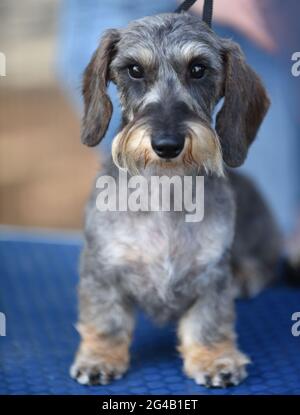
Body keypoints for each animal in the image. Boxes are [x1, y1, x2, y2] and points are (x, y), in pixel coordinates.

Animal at [69, 13, 282, 390]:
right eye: (134, 70)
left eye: (198, 69)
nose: (167, 144)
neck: (165, 191)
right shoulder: (101, 267)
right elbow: (106, 319)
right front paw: (99, 356)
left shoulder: (212, 274)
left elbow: (208, 321)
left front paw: (214, 358)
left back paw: (248, 276)